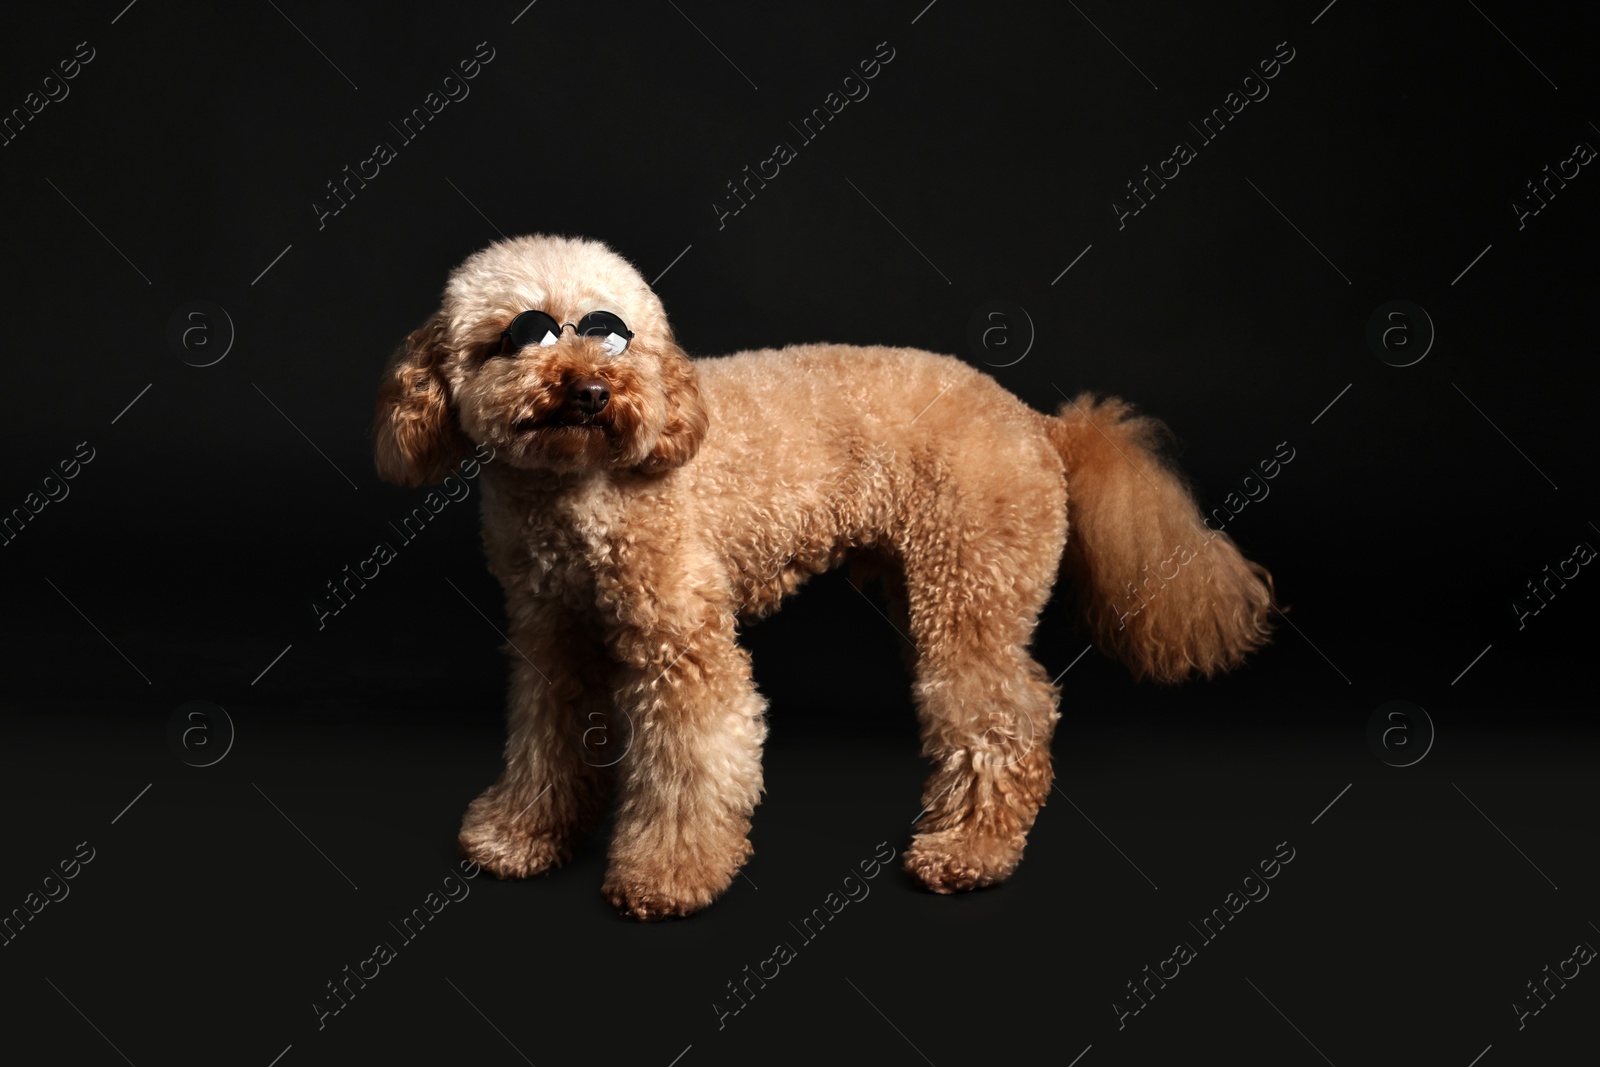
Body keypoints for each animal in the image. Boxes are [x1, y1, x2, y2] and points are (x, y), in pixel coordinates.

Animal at [374, 233, 1273, 921]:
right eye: (524, 334)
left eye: (611, 333)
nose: (594, 391)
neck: (577, 485)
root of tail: (1038, 422)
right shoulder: (553, 638)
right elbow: (546, 741)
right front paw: (521, 835)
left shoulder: (682, 644)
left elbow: (695, 759)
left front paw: (668, 875)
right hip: (926, 583)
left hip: (970, 586)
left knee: (1004, 715)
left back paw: (968, 849)